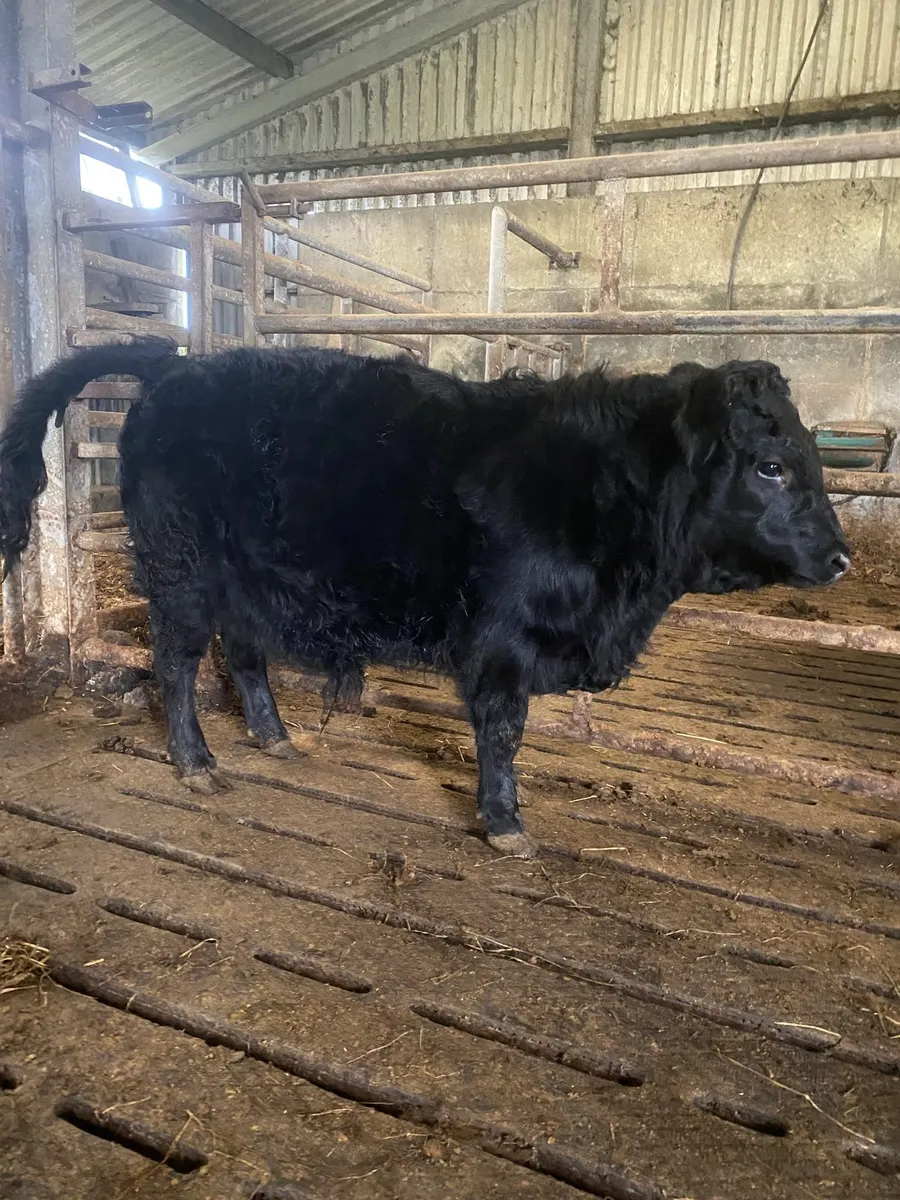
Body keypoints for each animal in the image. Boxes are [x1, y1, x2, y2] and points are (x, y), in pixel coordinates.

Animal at [0, 339, 850, 856]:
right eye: (771, 465)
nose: (840, 557)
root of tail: (177, 365)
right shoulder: (503, 641)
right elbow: (502, 730)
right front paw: (505, 822)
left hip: (247, 576)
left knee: (242, 651)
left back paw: (274, 737)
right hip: (181, 570)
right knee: (176, 663)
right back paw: (196, 761)